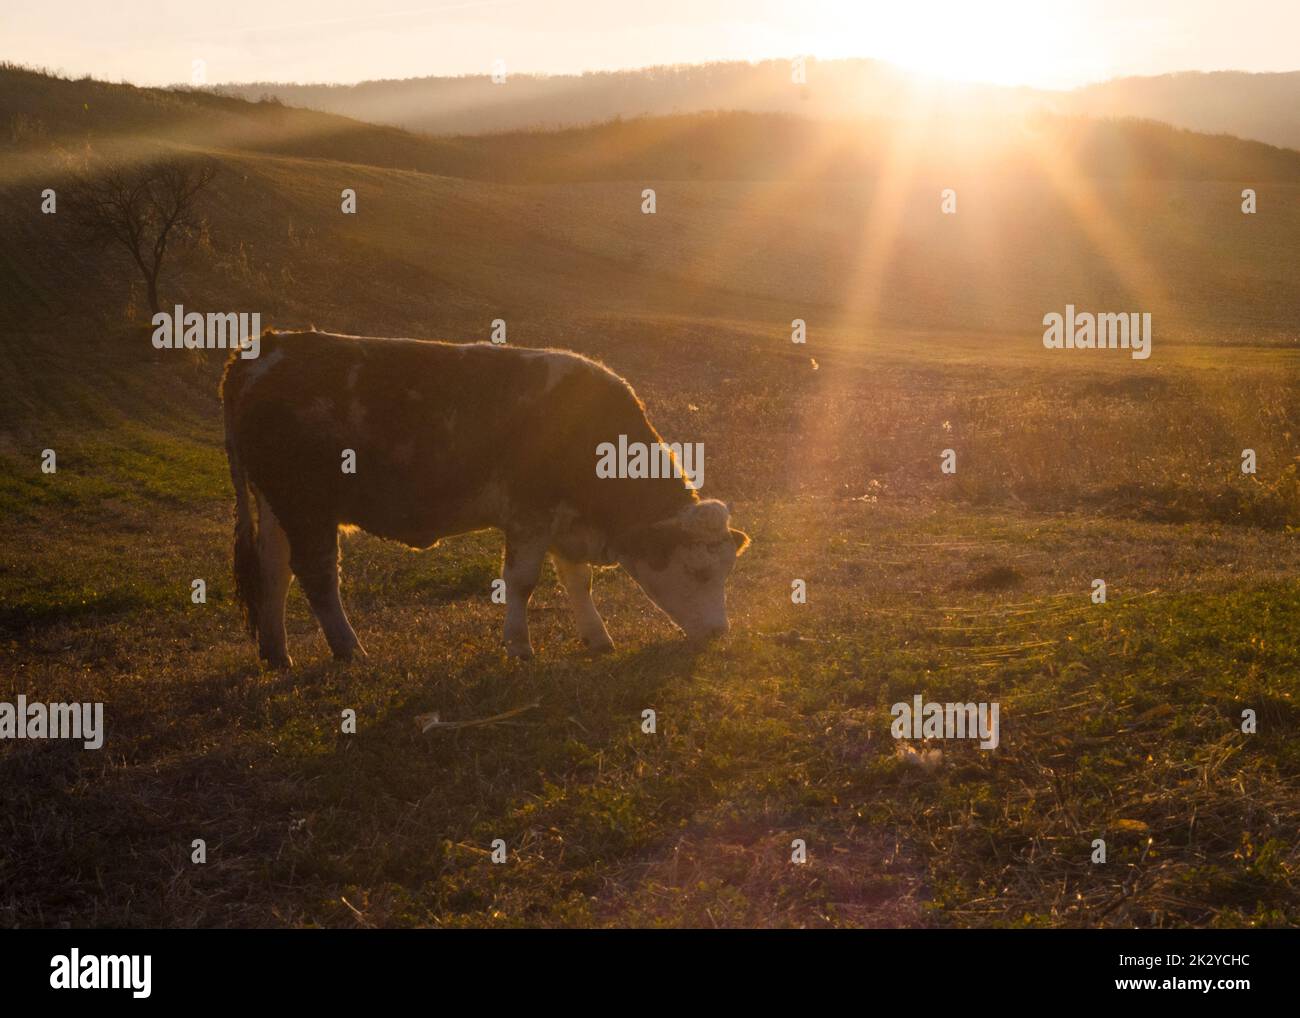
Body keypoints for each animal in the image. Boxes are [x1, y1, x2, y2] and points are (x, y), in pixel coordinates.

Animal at [220, 330, 750, 667]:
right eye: (699, 572)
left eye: (726, 571)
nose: (720, 633)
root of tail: (271, 346)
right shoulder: (529, 516)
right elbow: (522, 582)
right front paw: (519, 647)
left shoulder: (564, 522)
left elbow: (577, 582)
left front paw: (597, 638)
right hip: (307, 505)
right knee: (317, 575)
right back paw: (349, 648)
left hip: (277, 506)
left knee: (275, 571)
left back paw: (276, 653)